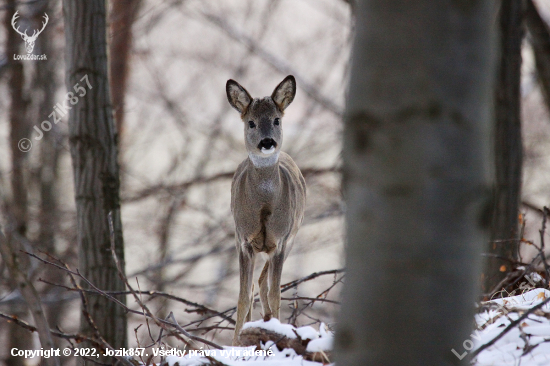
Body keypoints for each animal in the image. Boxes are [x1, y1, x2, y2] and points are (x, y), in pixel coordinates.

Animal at [226, 76, 308, 344]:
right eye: (251, 122)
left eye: (276, 120)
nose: (267, 142)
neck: (263, 206)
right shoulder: (243, 239)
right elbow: (242, 296)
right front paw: (234, 343)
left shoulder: (281, 240)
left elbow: (275, 293)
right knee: (255, 285)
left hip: (292, 237)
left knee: (264, 284)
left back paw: (270, 324)